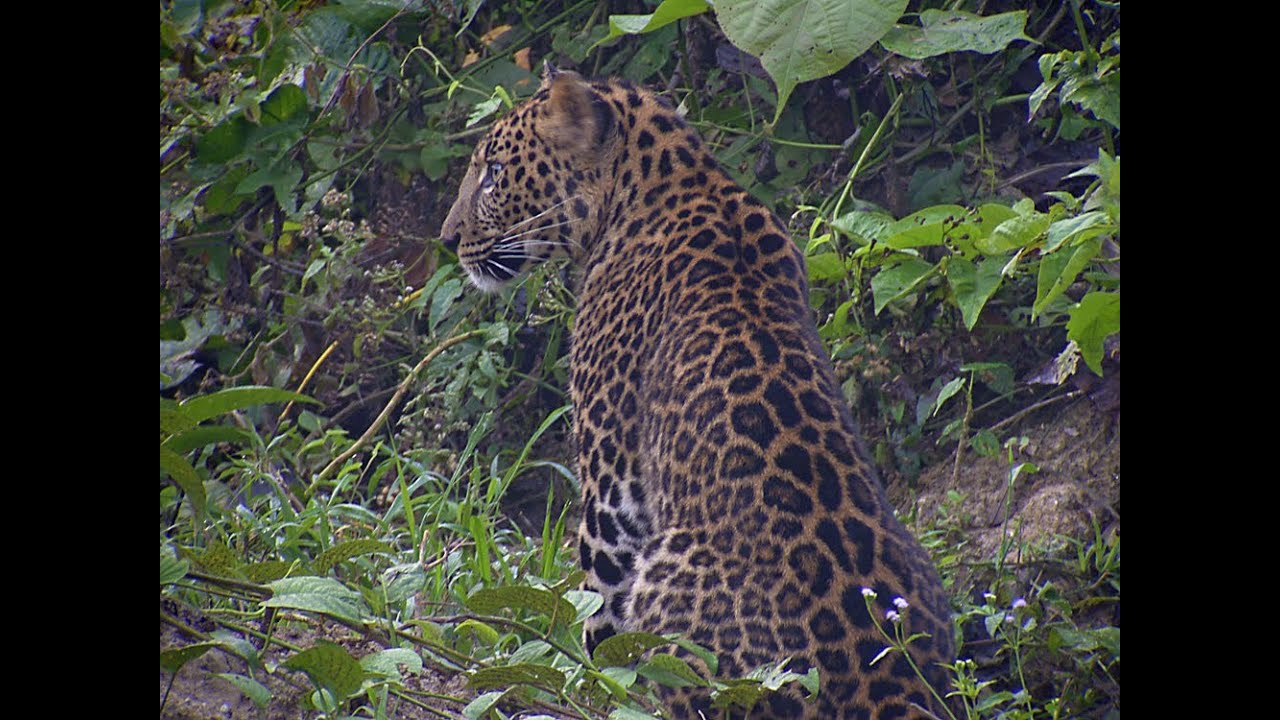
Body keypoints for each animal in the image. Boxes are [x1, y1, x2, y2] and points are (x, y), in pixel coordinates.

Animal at [440, 65, 954, 719]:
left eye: (495, 172)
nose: (447, 238)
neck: (670, 179)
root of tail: (887, 682)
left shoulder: (614, 486)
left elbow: (601, 618)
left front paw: (593, 689)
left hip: (669, 579)